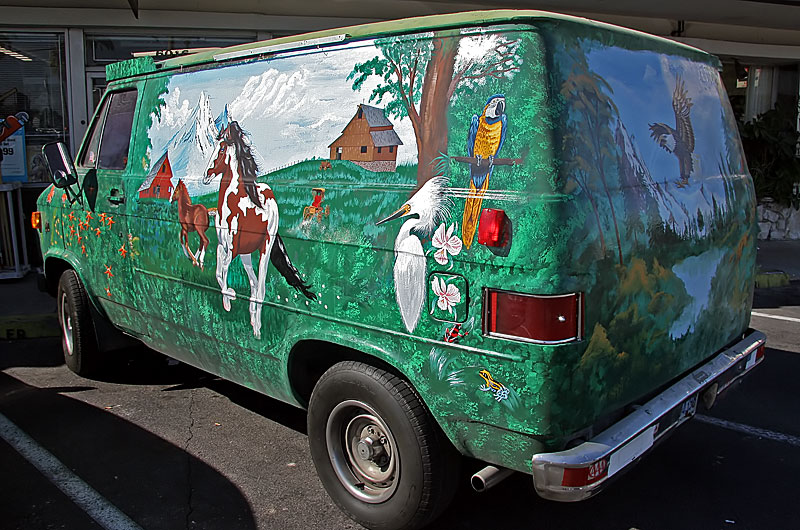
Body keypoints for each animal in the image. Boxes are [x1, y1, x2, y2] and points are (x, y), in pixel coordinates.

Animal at [202, 120, 314, 334]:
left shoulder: (231, 249)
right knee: (254, 285)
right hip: (246, 253)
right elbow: (219, 274)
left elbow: (223, 274)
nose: (206, 176)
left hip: (265, 246)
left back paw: (257, 330)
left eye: (221, 149)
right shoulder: (223, 247)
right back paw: (252, 320)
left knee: (260, 288)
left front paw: (229, 299)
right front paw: (229, 298)